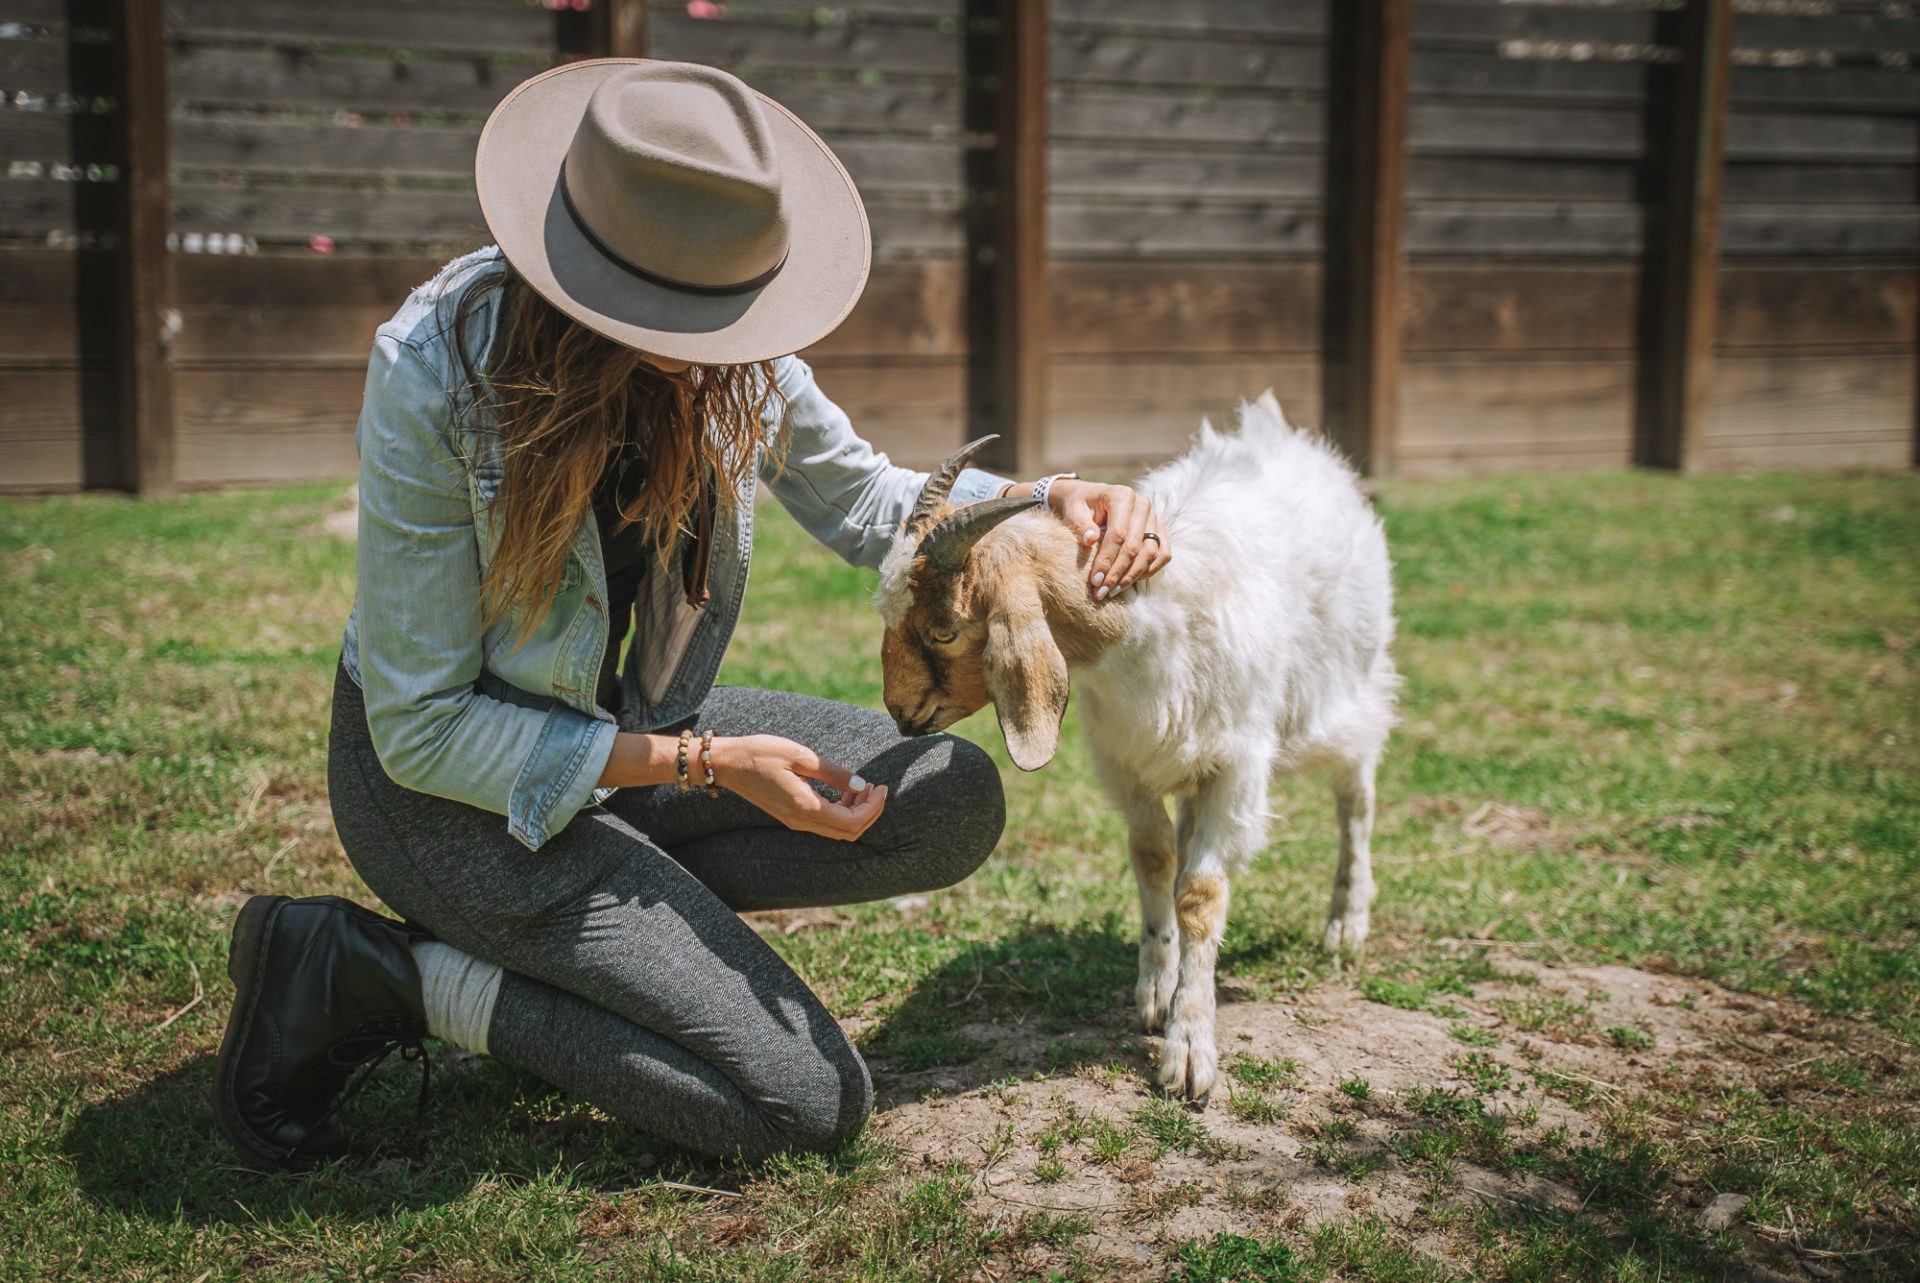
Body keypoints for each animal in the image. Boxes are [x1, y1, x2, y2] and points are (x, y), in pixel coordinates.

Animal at [875, 393, 1397, 1106]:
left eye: (945, 630)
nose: (900, 713)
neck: (1145, 625)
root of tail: (1276, 431)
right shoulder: (1126, 761)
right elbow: (1154, 861)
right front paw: (1157, 987)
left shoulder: (1238, 767)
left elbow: (1201, 895)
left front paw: (1189, 1051)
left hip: (1345, 693)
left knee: (1358, 797)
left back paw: (1346, 922)